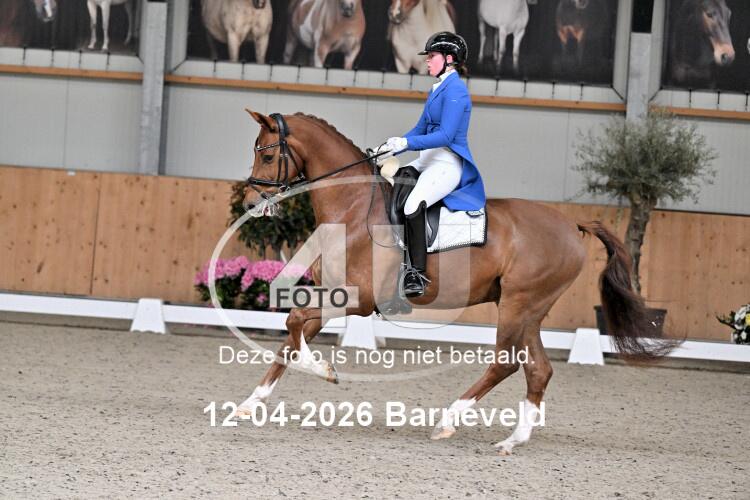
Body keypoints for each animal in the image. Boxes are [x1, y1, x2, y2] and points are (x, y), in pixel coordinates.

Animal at [236, 111, 676, 455]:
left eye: (268, 154)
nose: (250, 204)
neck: (353, 208)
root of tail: (571, 224)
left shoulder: (357, 299)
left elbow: (293, 323)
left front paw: (325, 370)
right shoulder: (333, 295)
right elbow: (291, 338)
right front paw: (250, 403)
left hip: (519, 304)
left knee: (506, 363)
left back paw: (448, 420)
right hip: (529, 309)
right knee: (538, 370)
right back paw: (511, 441)